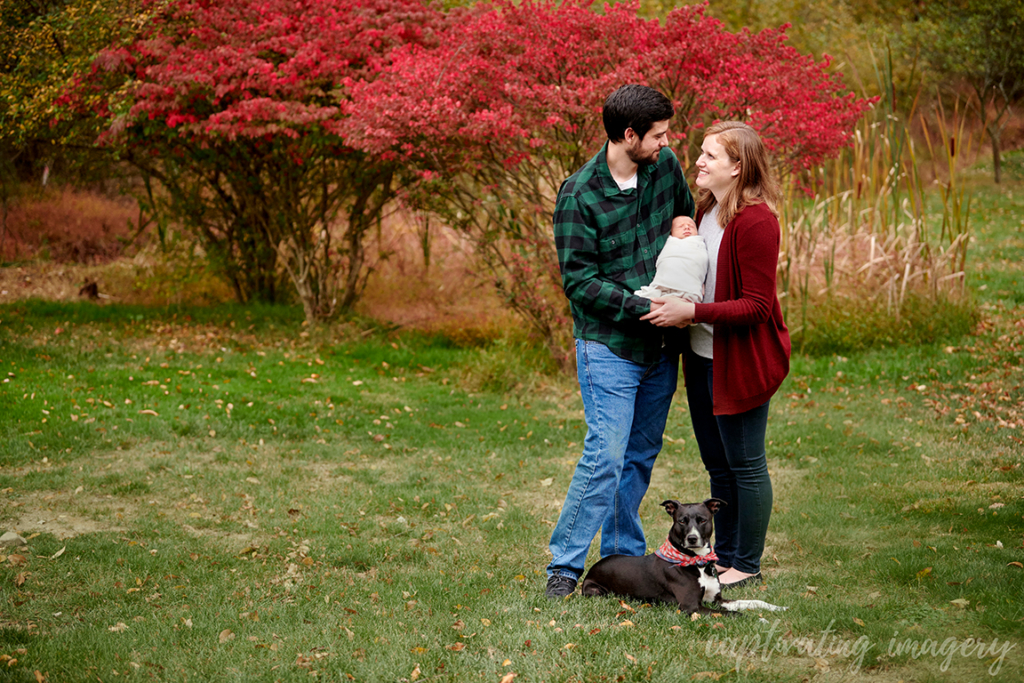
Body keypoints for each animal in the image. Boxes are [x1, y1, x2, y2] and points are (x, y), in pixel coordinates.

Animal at [585, 499, 782, 618]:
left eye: (702, 520)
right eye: (681, 521)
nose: (692, 538)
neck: (698, 563)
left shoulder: (716, 600)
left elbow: (752, 602)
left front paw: (777, 608)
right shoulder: (692, 607)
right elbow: (734, 614)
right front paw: (758, 620)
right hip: (595, 591)